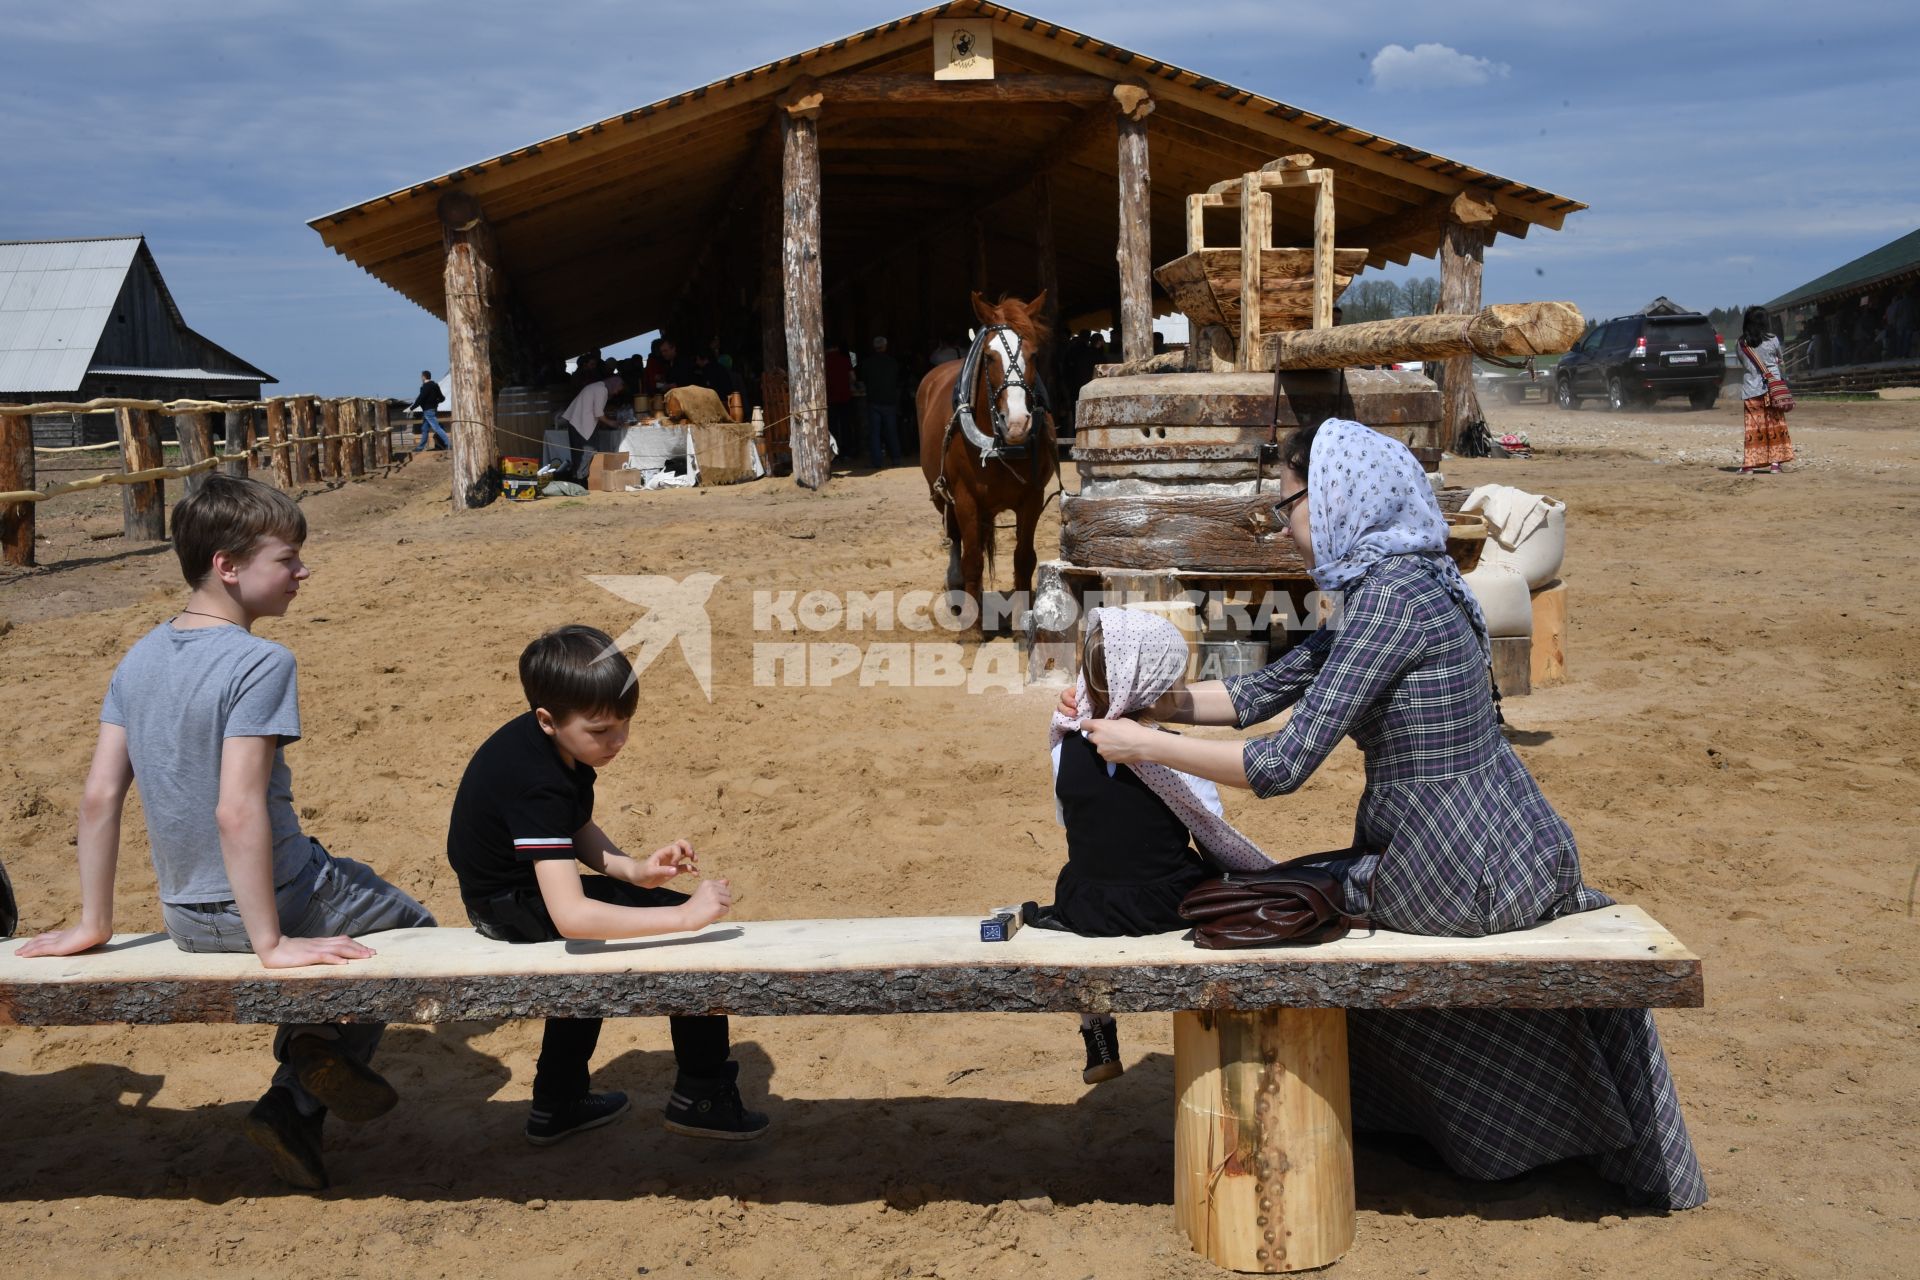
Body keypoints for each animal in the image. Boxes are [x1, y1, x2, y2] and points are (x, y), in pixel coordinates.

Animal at [917, 289, 1059, 629]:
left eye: (1034, 355)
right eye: (991, 357)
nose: (1018, 423)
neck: (1000, 445)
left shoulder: (1032, 498)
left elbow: (1024, 557)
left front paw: (1022, 620)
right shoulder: (965, 498)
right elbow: (972, 559)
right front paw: (972, 627)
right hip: (941, 495)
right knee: (956, 539)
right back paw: (959, 591)